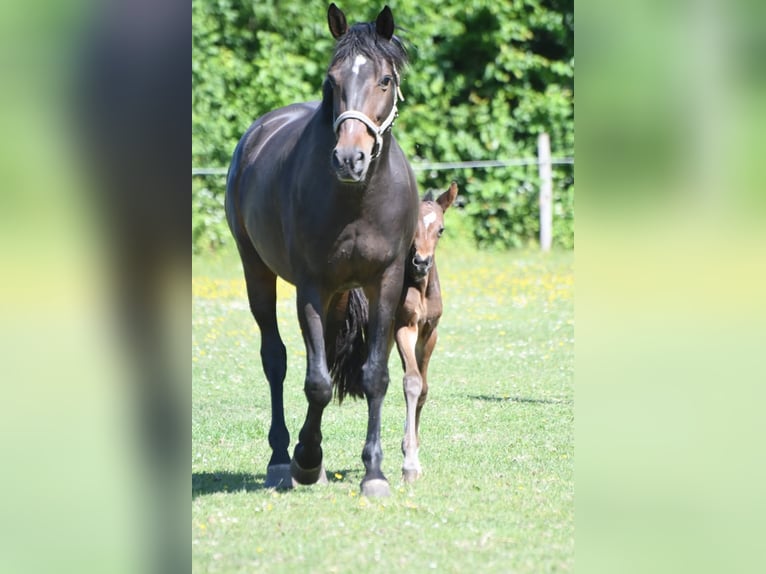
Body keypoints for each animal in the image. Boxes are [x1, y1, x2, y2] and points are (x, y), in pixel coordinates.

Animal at [226, 4, 420, 498]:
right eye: (332, 80)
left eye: (385, 80)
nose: (349, 159)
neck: (356, 200)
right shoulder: (310, 287)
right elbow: (315, 381)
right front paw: (306, 459)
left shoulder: (384, 284)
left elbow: (374, 376)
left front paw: (374, 473)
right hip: (257, 271)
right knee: (275, 360)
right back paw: (283, 458)